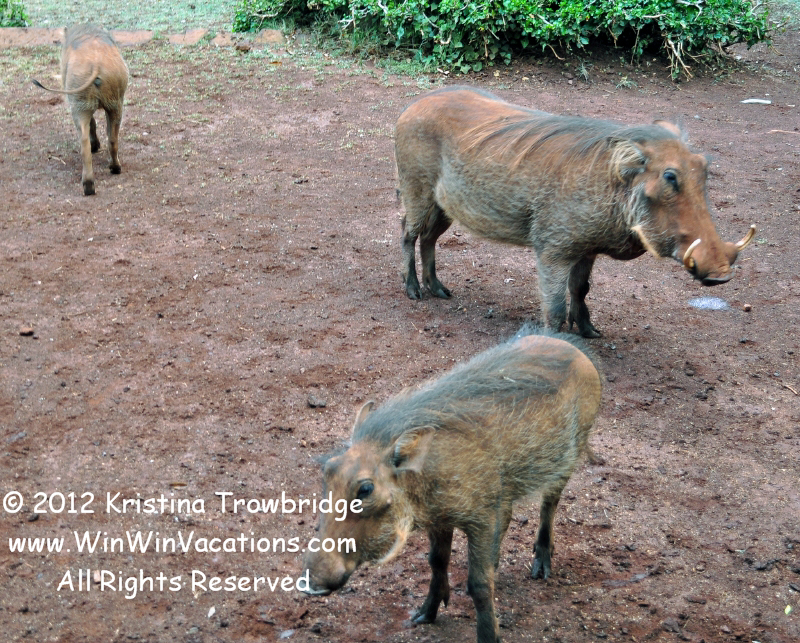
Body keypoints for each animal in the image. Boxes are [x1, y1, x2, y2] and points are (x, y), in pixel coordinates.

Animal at [32, 24, 129, 196]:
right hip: (115, 103)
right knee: (111, 137)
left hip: (79, 104)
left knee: (84, 140)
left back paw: (90, 183)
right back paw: (111, 171)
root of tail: (97, 65)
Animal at [303, 327, 602, 643]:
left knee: (550, 504)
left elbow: (480, 585)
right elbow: (437, 561)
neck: (421, 475)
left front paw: (489, 636)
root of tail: (571, 346)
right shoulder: (441, 518)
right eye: (328, 470)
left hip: (569, 456)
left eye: (365, 490)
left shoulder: (482, 518)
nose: (309, 583)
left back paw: (542, 566)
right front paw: (424, 615)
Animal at [396, 86, 756, 337]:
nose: (721, 274)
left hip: (445, 206)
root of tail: (410, 107)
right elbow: (554, 307)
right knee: (407, 234)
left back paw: (439, 289)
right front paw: (555, 342)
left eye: (704, 167)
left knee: (429, 239)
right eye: (670, 177)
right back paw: (414, 292)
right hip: (417, 192)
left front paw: (589, 332)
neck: (613, 183)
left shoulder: (587, 247)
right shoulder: (553, 250)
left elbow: (580, 289)